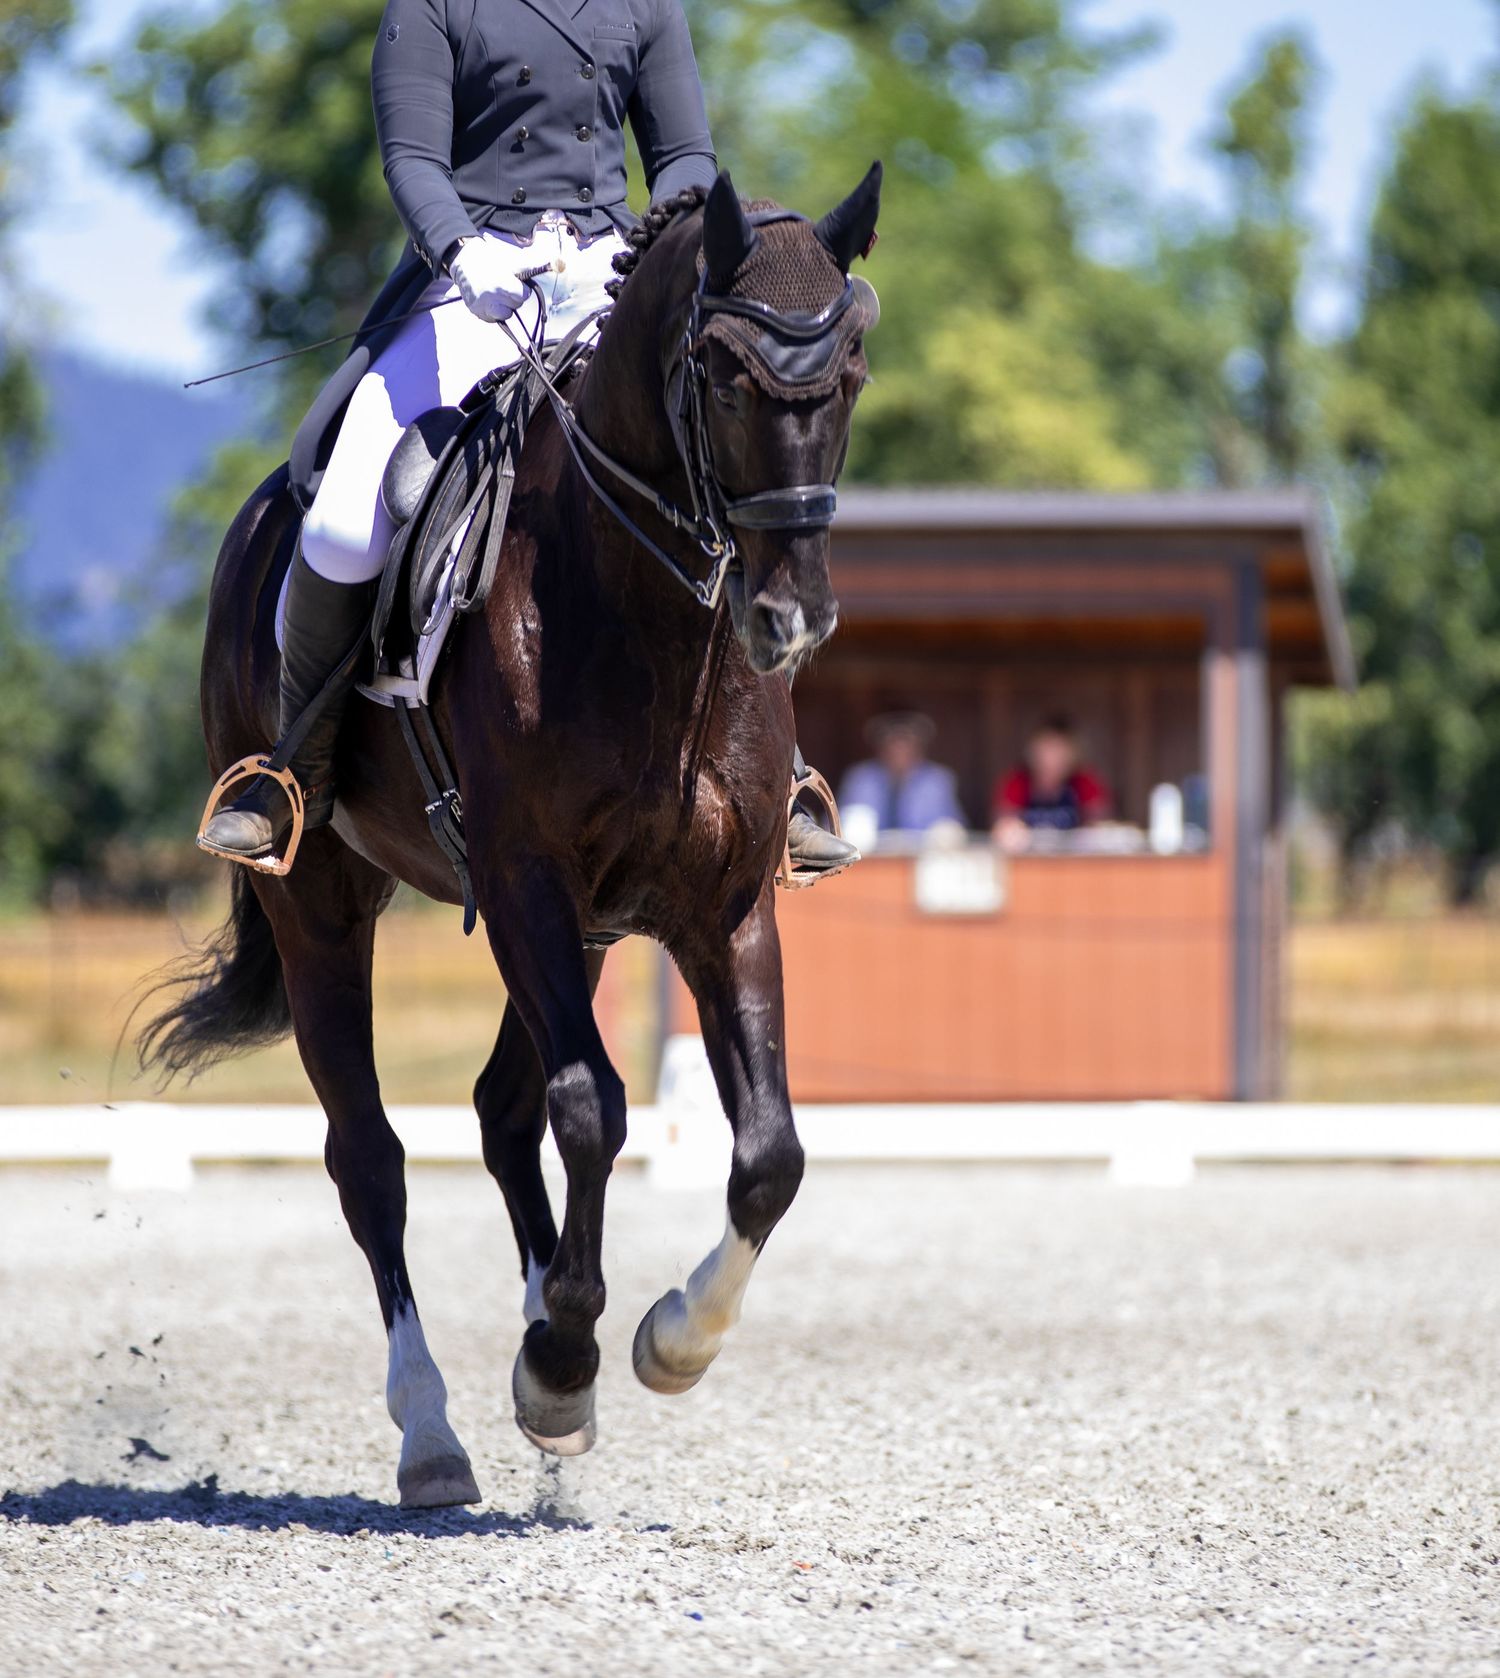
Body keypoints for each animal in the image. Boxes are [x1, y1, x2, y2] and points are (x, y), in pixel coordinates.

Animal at [139, 165, 881, 1508]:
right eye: (723, 374)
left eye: (849, 367)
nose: (789, 622)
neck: (645, 620)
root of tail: (261, 520)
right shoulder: (525, 879)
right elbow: (591, 1108)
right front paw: (567, 1357)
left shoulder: (722, 907)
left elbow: (769, 1154)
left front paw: (663, 1342)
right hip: (321, 901)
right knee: (370, 1158)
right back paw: (433, 1430)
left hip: (586, 927)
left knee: (495, 1106)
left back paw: (542, 1332)